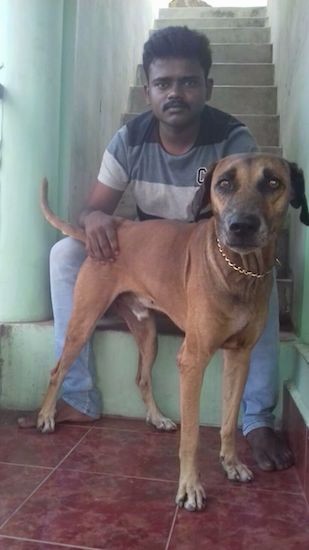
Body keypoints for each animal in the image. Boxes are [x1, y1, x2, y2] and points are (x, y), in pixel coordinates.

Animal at [37, 152, 306, 512]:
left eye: (273, 182)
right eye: (224, 183)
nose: (241, 226)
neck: (240, 270)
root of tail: (118, 228)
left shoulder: (240, 357)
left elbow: (228, 421)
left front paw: (231, 463)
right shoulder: (192, 361)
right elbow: (192, 436)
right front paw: (190, 488)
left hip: (147, 333)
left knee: (141, 377)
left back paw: (157, 418)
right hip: (83, 322)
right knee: (58, 370)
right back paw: (46, 416)